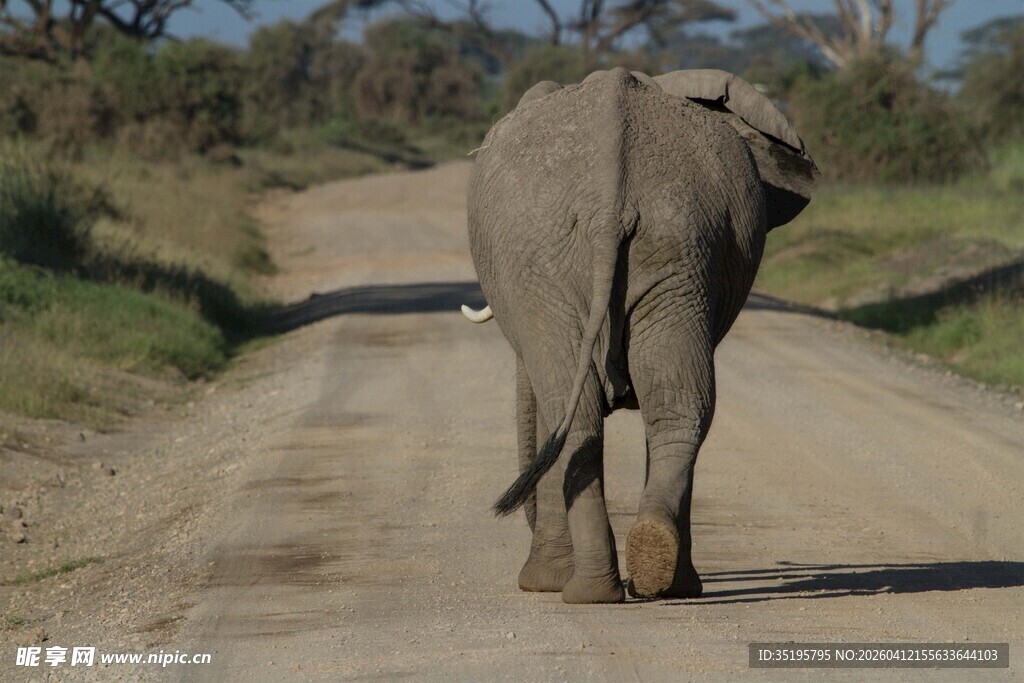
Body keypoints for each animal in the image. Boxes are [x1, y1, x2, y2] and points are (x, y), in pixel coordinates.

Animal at [462, 68, 818, 604]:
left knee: (577, 411)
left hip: (560, 263)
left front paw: (540, 583)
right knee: (676, 403)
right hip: (676, 246)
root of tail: (609, 198)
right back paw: (658, 575)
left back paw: (586, 590)